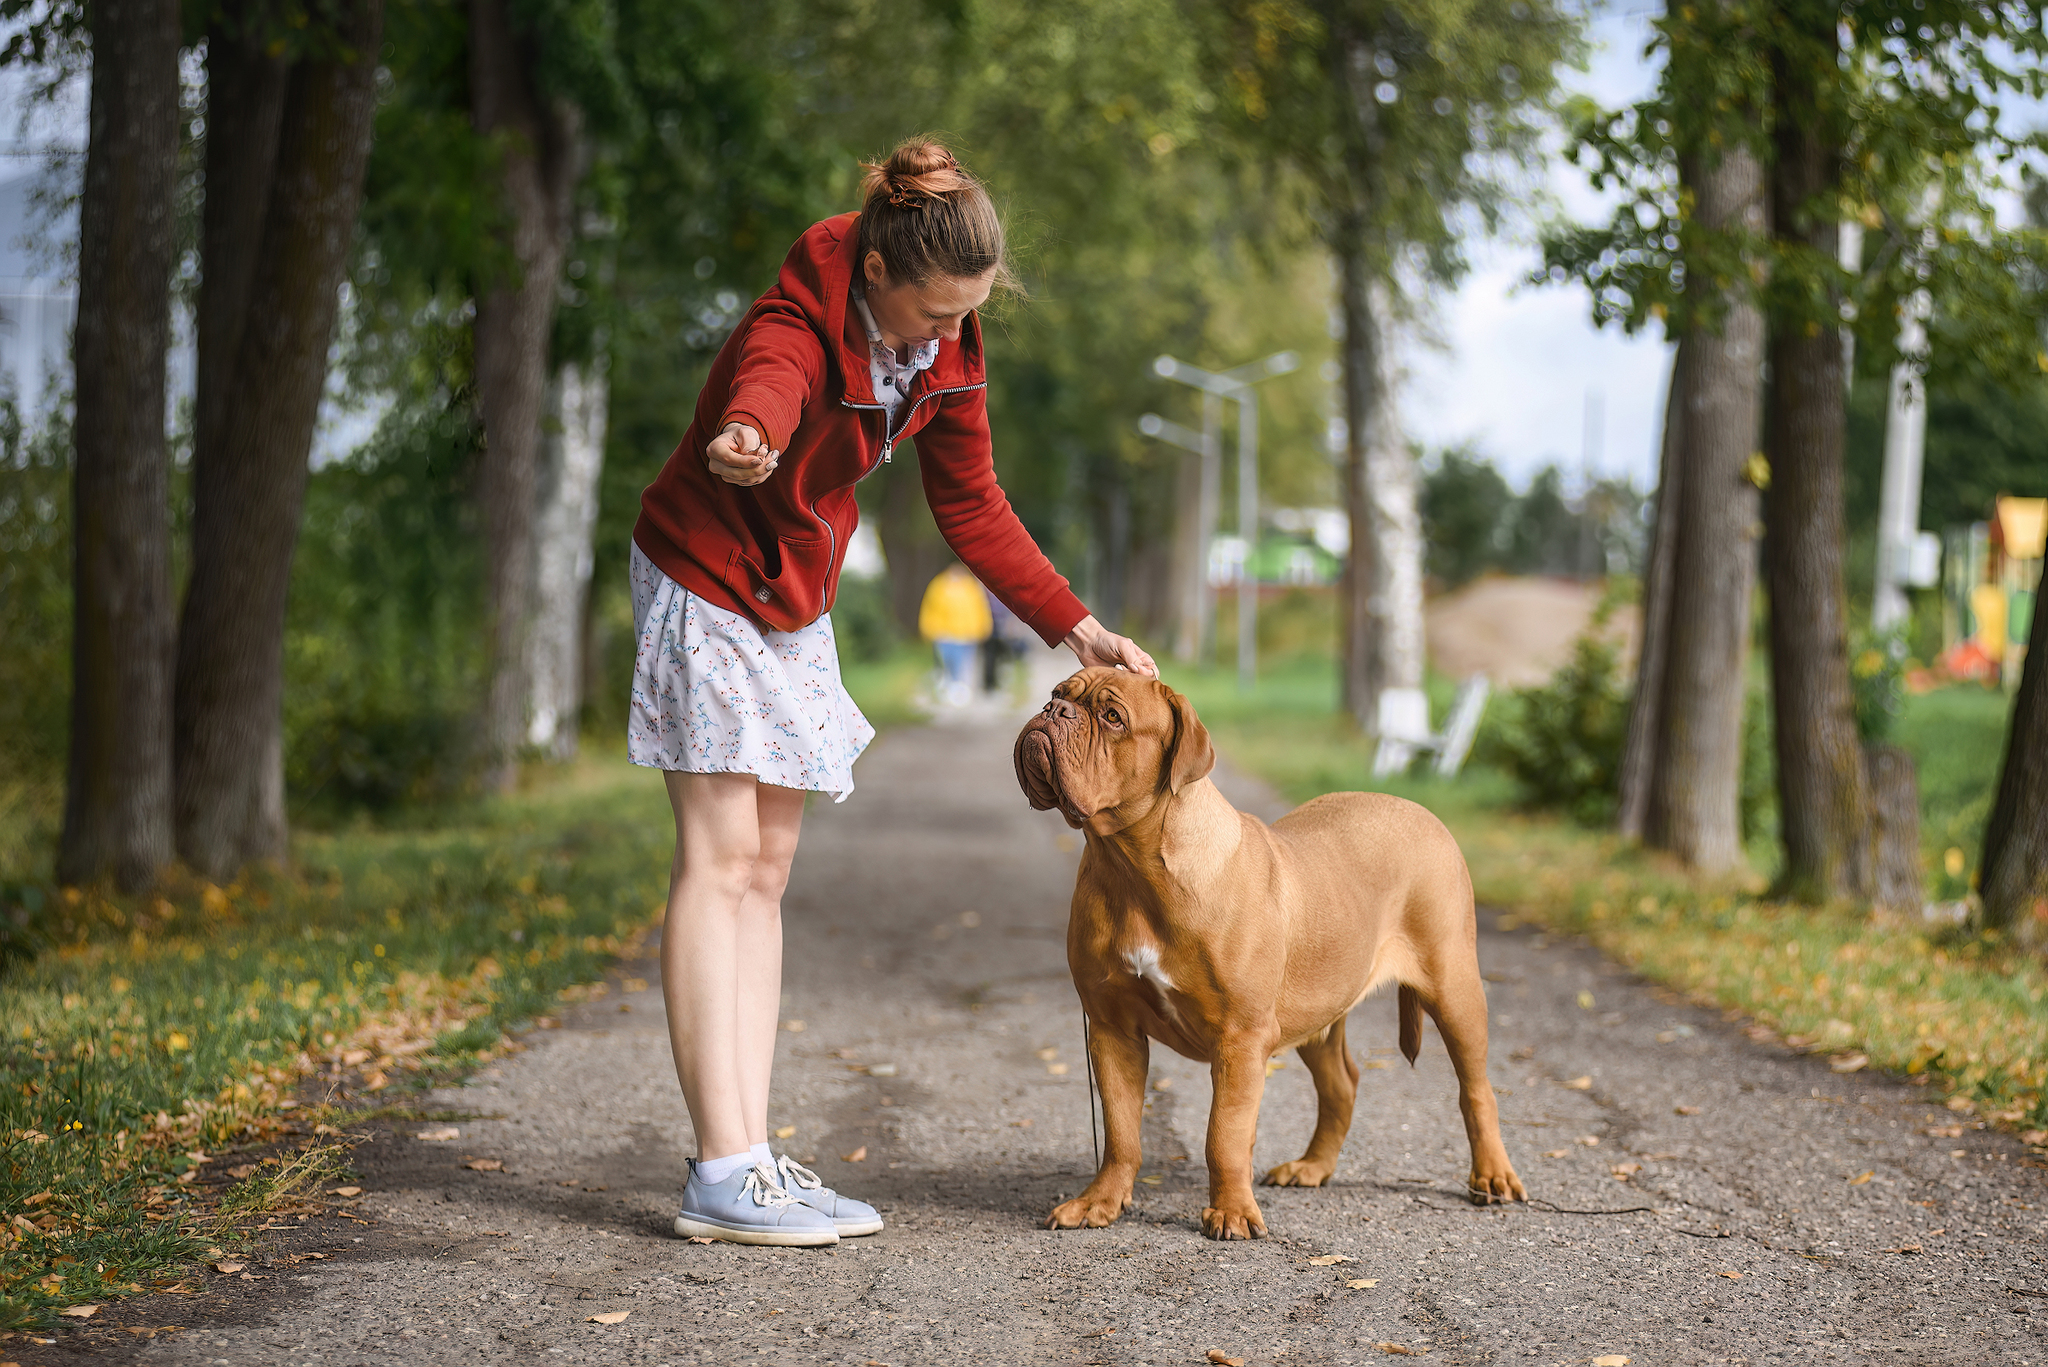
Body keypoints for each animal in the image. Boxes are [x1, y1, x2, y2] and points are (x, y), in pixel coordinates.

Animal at [1015, 672, 1531, 1237]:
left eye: (1112, 718)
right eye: (1058, 692)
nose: (1053, 710)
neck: (1130, 868)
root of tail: (1423, 812)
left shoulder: (1240, 1038)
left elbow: (1224, 1133)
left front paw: (1232, 1212)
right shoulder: (1112, 1028)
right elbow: (1121, 1129)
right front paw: (1099, 1203)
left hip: (1454, 988)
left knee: (1476, 1088)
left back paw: (1493, 1176)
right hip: (1318, 1011)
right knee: (1341, 1084)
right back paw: (1312, 1167)